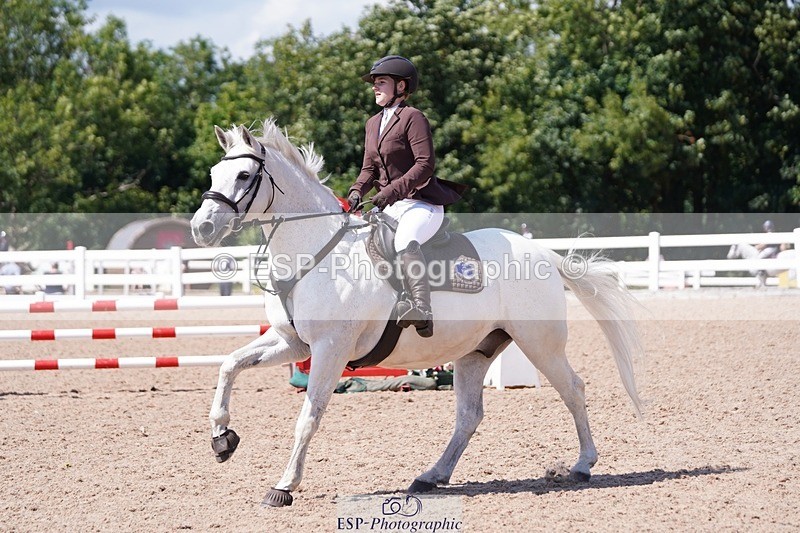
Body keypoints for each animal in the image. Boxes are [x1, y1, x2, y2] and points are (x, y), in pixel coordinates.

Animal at [190, 119, 645, 508]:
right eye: (213, 173)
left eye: (243, 176)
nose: (201, 229)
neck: (317, 251)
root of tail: (545, 254)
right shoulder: (292, 343)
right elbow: (229, 365)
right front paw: (222, 438)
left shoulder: (330, 349)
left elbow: (308, 417)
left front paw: (284, 486)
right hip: (476, 351)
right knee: (469, 415)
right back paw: (432, 476)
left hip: (540, 344)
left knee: (573, 389)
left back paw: (582, 465)